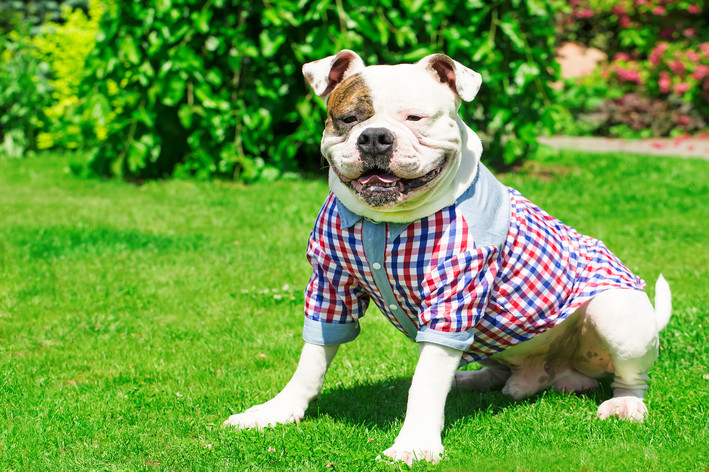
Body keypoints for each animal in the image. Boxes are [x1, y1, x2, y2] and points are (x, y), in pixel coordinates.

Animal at [224, 50, 672, 464]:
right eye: (349, 118)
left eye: (416, 117)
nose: (375, 137)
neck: (386, 222)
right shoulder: (331, 285)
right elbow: (312, 359)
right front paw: (277, 411)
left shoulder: (454, 297)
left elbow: (426, 383)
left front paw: (414, 444)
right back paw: (475, 379)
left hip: (616, 314)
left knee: (633, 378)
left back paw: (625, 403)